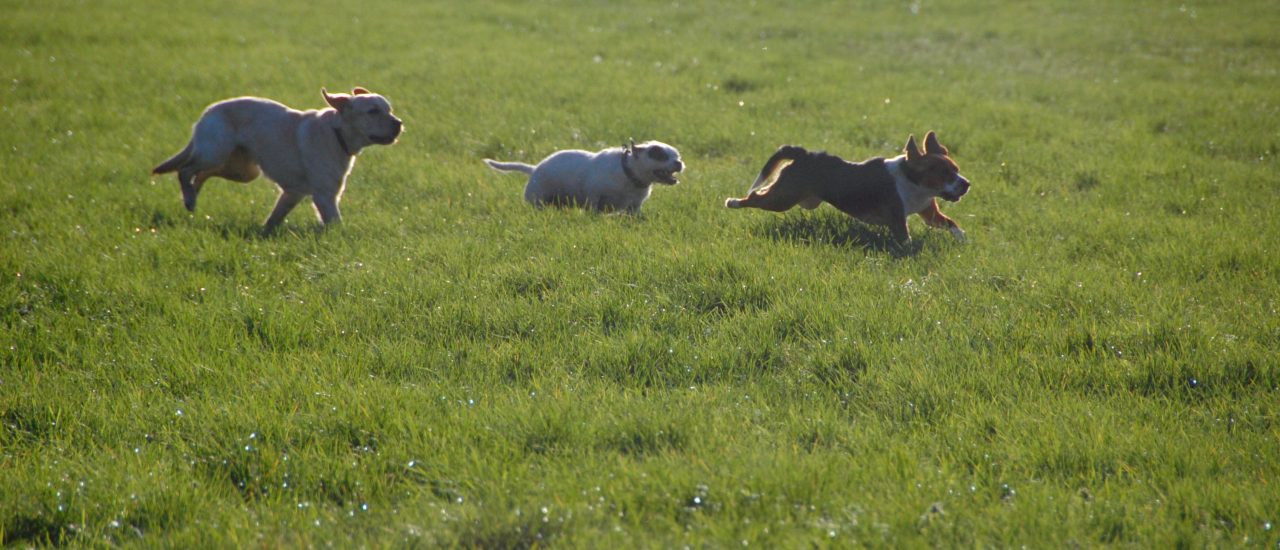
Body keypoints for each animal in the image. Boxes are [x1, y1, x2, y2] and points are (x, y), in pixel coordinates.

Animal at [155, 86, 404, 231]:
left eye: (389, 110)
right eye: (373, 111)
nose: (399, 123)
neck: (337, 133)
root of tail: (206, 112)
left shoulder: (293, 193)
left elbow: (274, 218)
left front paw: (264, 233)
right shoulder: (325, 196)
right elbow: (336, 225)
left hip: (243, 170)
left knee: (201, 174)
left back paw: (193, 197)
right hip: (215, 152)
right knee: (185, 170)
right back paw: (189, 198)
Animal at [481, 139, 680, 212]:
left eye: (677, 156)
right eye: (660, 155)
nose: (679, 163)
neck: (629, 175)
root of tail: (534, 168)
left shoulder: (635, 207)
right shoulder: (594, 197)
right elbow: (593, 210)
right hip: (538, 200)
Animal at [727, 131, 962, 243]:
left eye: (956, 170)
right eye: (944, 174)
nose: (966, 184)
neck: (913, 183)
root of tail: (804, 154)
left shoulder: (929, 213)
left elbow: (951, 224)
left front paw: (963, 241)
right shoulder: (897, 219)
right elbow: (905, 240)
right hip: (783, 198)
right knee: (755, 197)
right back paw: (733, 202)